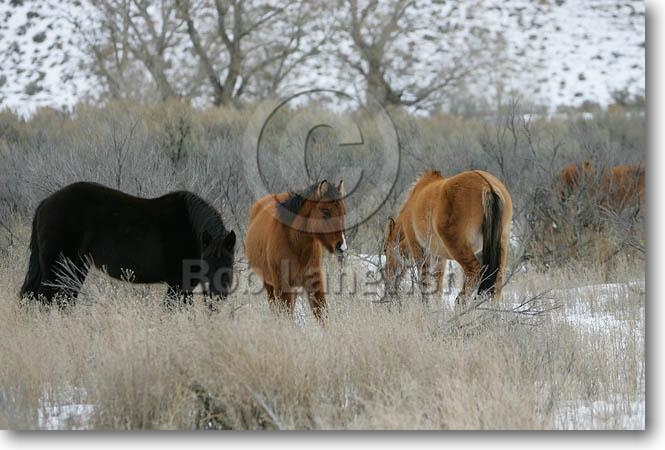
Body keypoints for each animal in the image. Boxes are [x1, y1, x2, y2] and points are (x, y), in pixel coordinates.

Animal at [20, 182, 236, 306]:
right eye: (207, 263)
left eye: (229, 263)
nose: (218, 296)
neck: (190, 228)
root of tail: (45, 203)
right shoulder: (179, 284)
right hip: (57, 267)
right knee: (44, 298)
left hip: (75, 268)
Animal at [245, 180, 347, 323]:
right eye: (326, 212)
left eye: (343, 212)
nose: (341, 246)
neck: (295, 244)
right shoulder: (282, 287)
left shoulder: (314, 281)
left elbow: (322, 313)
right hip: (269, 285)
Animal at [383, 170, 512, 306]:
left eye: (385, 250)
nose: (388, 276)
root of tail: (487, 185)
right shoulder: (439, 257)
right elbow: (438, 284)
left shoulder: (419, 249)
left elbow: (424, 281)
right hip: (501, 245)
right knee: (498, 279)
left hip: (457, 246)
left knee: (474, 271)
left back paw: (460, 302)